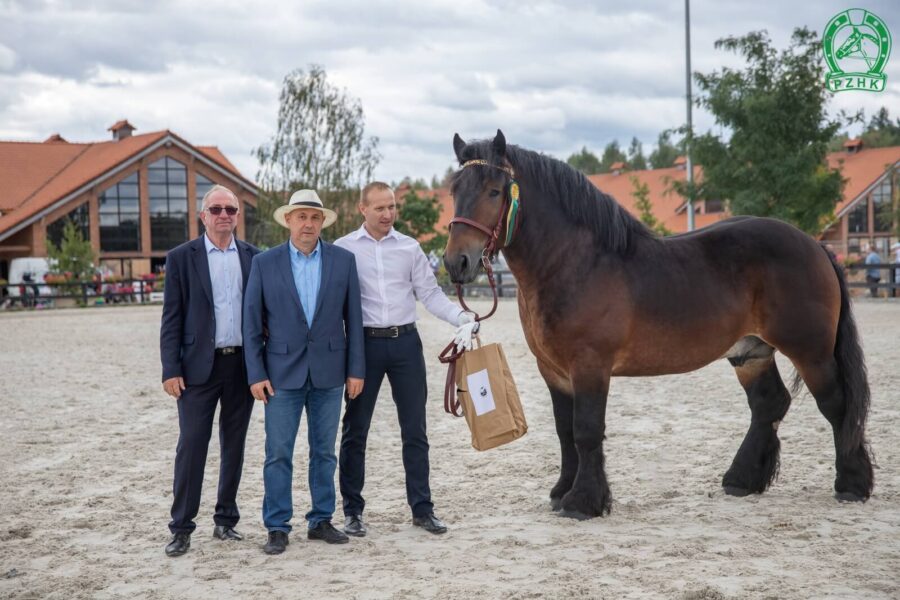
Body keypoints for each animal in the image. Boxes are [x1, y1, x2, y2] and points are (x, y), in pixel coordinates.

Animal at [442, 129, 872, 516]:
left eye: (493, 191)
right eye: (455, 190)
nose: (456, 262)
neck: (576, 263)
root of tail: (815, 245)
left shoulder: (590, 365)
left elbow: (586, 430)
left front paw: (583, 502)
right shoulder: (553, 370)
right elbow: (565, 431)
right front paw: (562, 491)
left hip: (812, 353)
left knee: (837, 405)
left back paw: (852, 484)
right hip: (751, 352)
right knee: (769, 404)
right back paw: (742, 480)